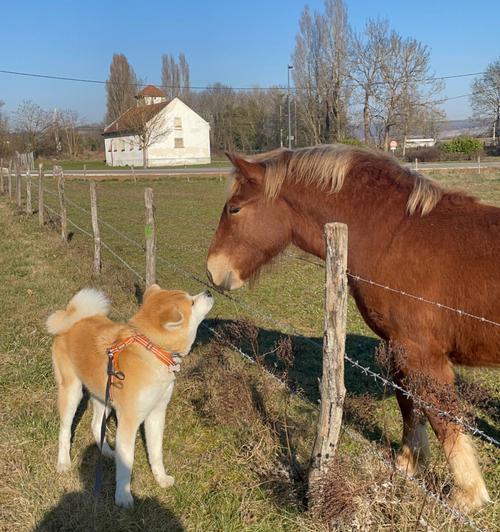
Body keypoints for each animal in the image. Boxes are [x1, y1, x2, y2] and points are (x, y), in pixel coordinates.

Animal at [47, 284, 217, 504]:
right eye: (192, 302)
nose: (209, 292)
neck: (154, 352)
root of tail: (72, 318)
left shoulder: (156, 413)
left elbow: (156, 452)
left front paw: (161, 478)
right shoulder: (129, 420)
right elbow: (127, 463)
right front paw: (123, 496)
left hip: (104, 396)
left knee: (96, 425)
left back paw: (108, 452)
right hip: (72, 391)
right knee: (65, 430)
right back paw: (63, 462)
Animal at [205, 144, 498, 512]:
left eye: (235, 208)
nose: (213, 269)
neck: (397, 236)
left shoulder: (422, 353)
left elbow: (442, 416)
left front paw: (467, 495)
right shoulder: (398, 347)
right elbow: (408, 404)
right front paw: (407, 464)